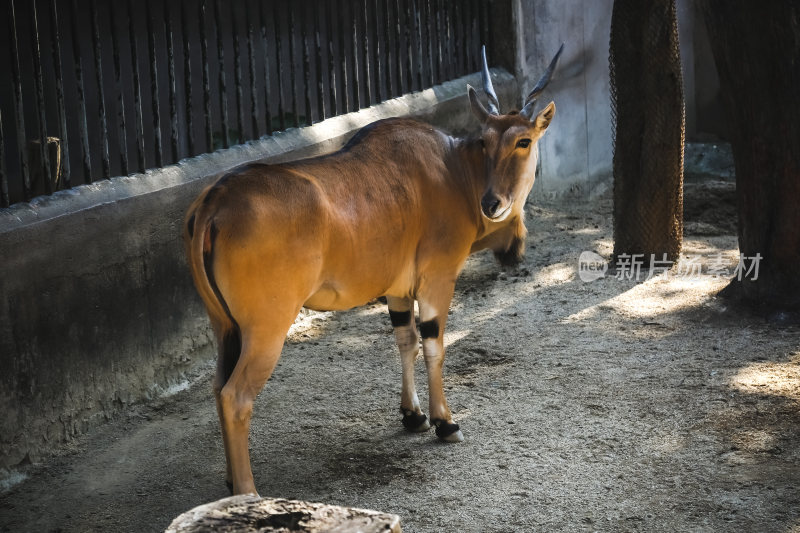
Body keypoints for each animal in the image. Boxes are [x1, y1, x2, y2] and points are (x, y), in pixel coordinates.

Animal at [186, 45, 564, 494]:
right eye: (486, 141)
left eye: (523, 140)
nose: (492, 203)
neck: (455, 169)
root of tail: (215, 203)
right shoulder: (437, 279)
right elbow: (434, 344)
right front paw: (445, 422)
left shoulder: (397, 290)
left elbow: (406, 341)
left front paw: (413, 416)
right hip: (266, 330)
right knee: (236, 396)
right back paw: (247, 491)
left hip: (226, 327)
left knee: (217, 387)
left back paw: (230, 484)